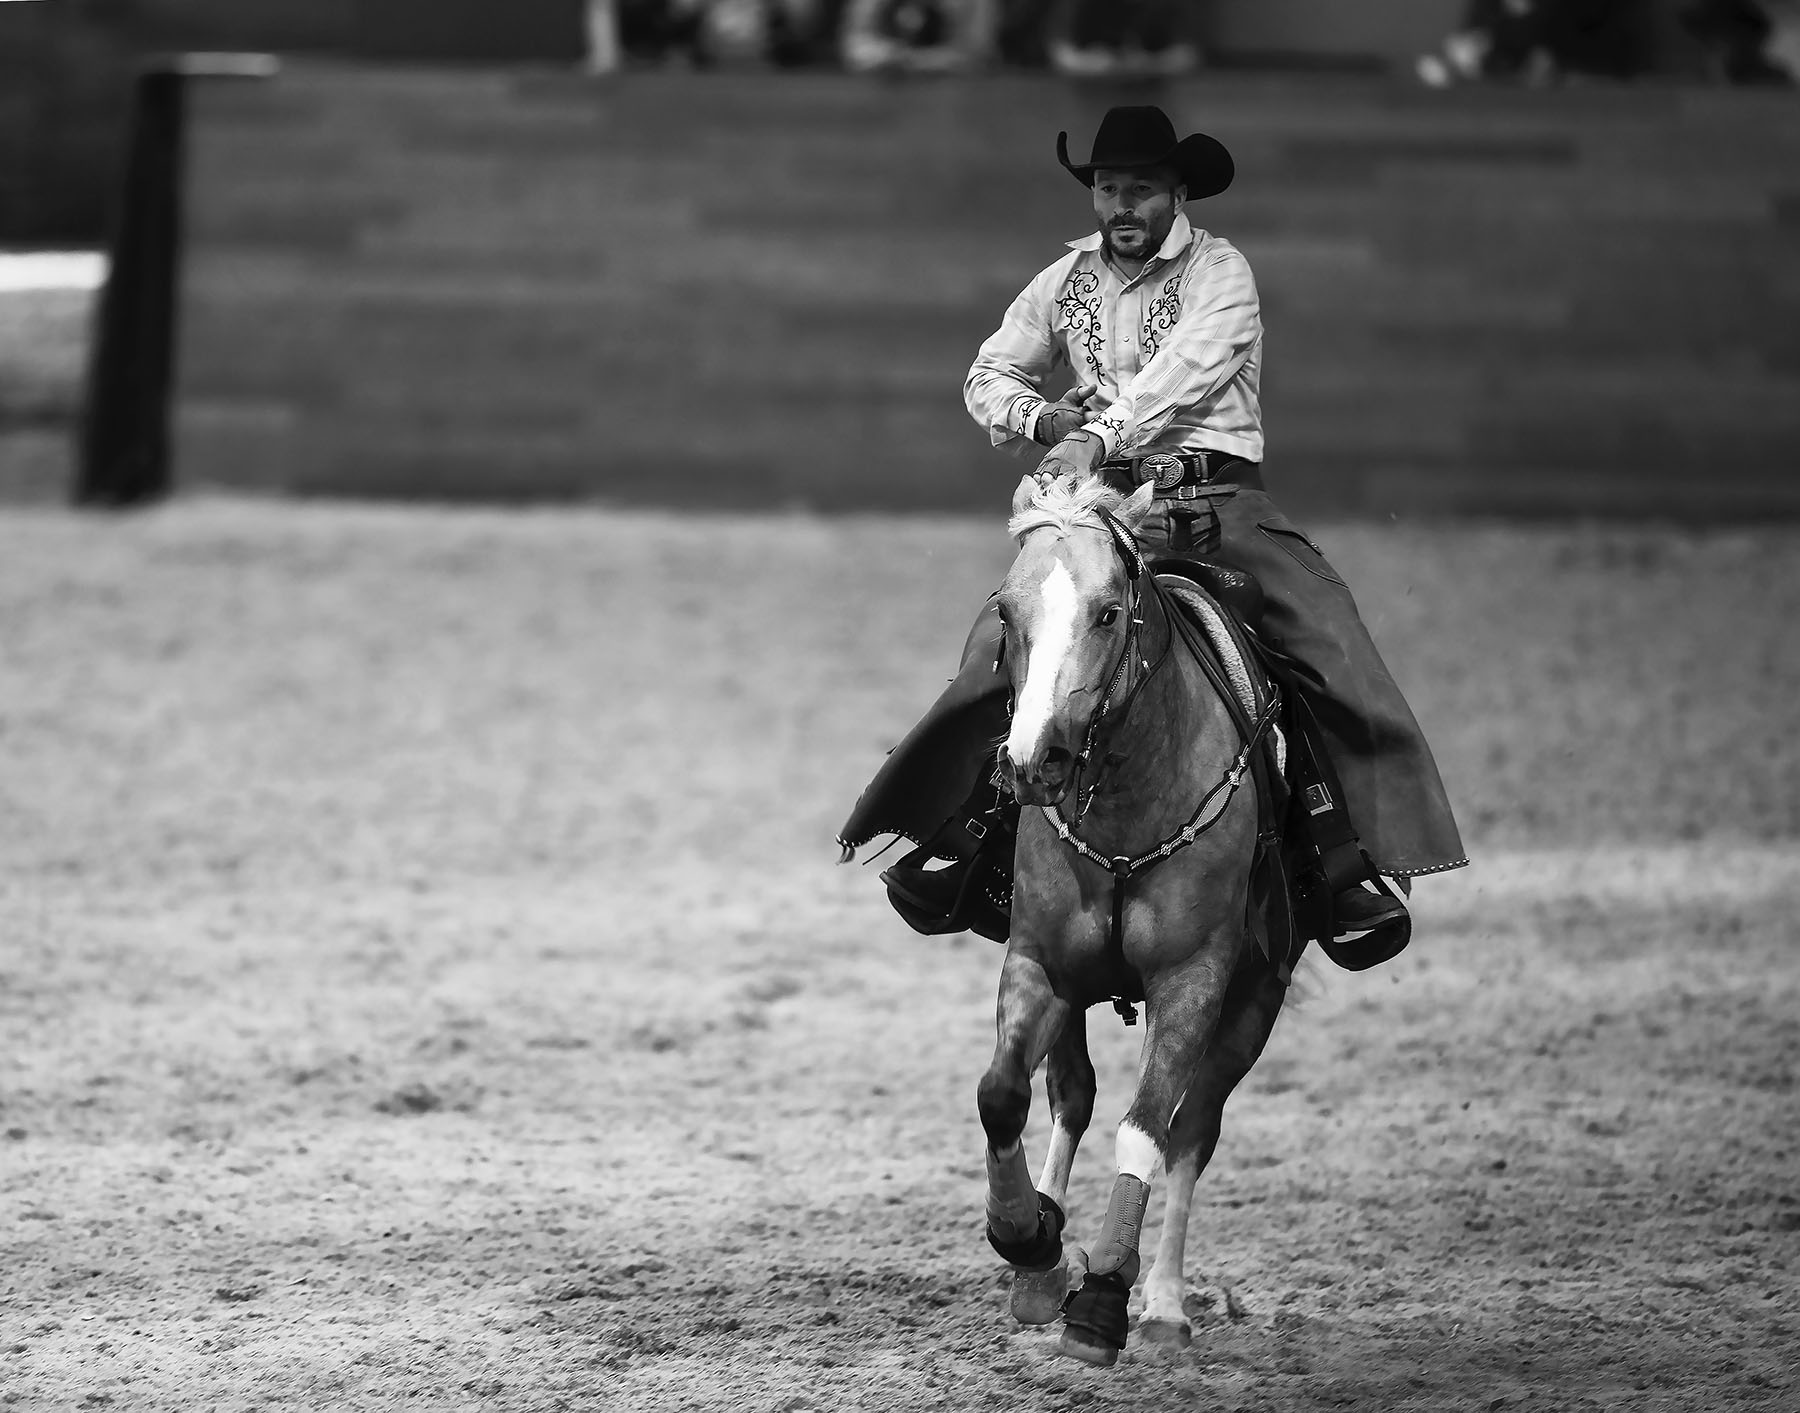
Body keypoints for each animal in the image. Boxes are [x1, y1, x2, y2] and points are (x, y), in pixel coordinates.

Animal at [977, 471, 1291, 1366]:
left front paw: (1103, 1299)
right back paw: (1040, 1266)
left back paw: (1162, 1304)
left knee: (1191, 1133)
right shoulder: (1038, 962)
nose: (1032, 762)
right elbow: (1002, 1095)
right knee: (1071, 1096)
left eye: (1109, 611)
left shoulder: (1195, 981)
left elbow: (1147, 1132)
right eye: (1006, 611)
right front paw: (1029, 1240)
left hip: (1256, 999)